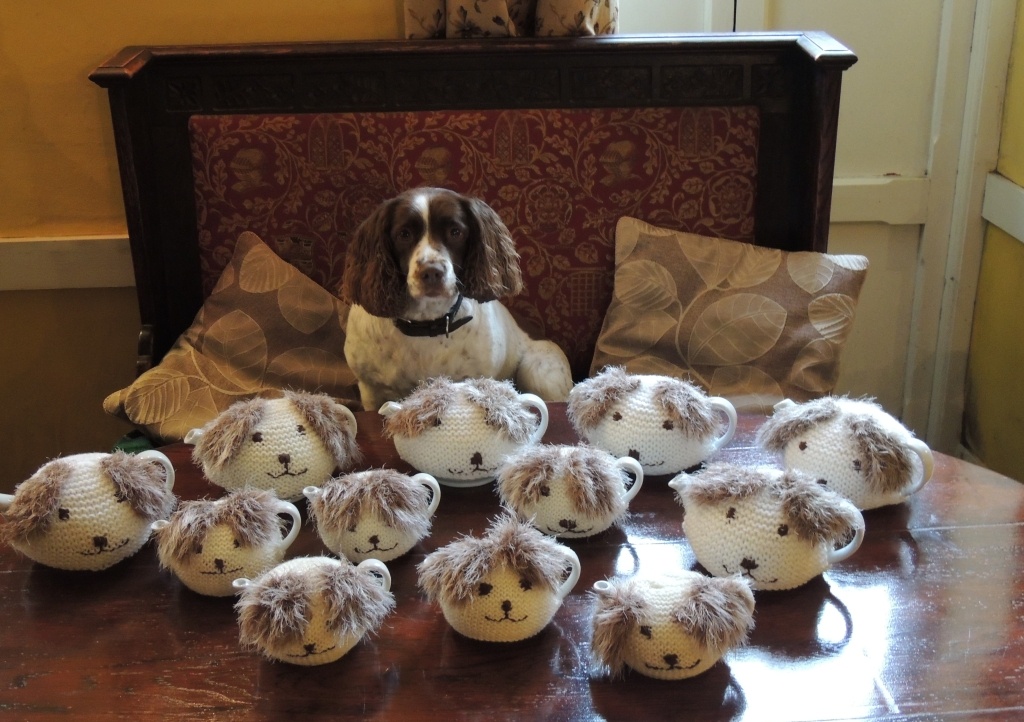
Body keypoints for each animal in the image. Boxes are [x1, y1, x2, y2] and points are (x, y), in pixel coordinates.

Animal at [339, 187, 573, 411]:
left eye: (455, 232)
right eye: (404, 234)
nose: (432, 272)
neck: (426, 325)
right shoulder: (371, 391)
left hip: (538, 371)